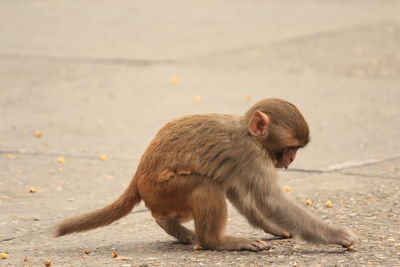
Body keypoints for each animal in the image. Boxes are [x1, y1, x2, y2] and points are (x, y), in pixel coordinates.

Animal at [54, 98, 358, 251]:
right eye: (290, 148)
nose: (291, 160)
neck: (248, 132)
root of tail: (138, 176)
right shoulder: (253, 154)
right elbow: (271, 201)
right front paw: (334, 235)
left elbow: (238, 192)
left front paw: (273, 227)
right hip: (164, 190)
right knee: (204, 185)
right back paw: (218, 242)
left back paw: (173, 227)